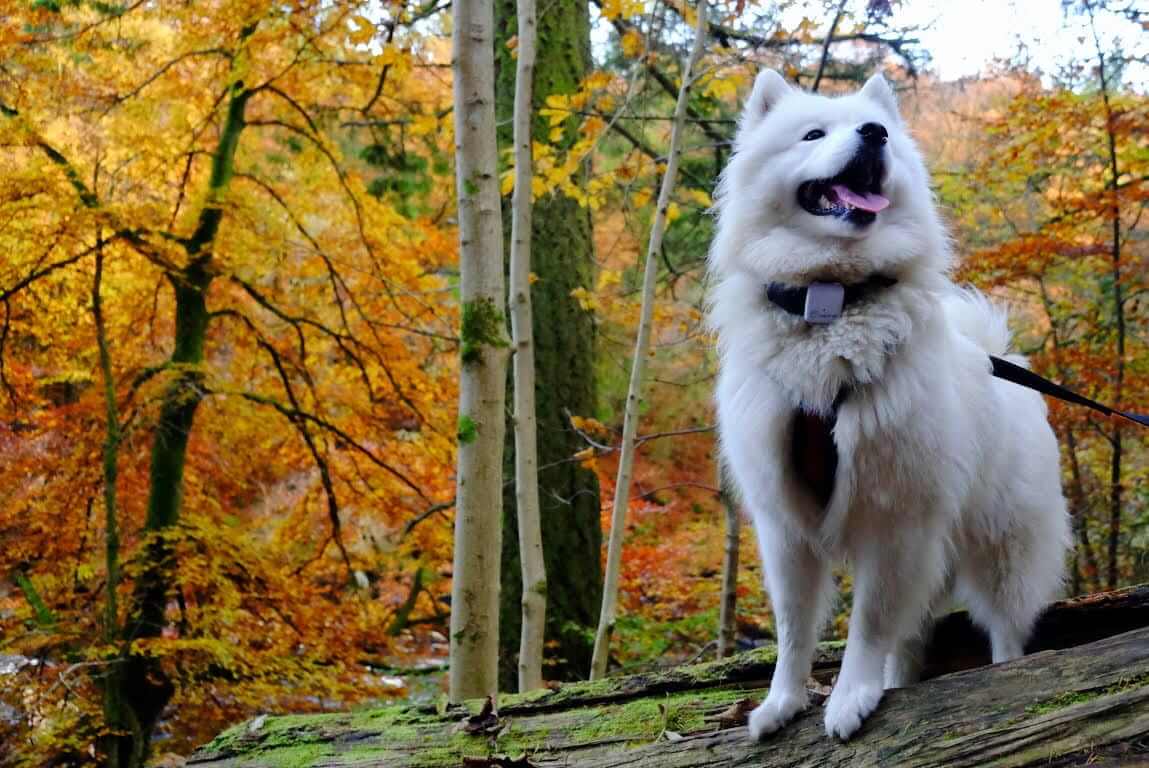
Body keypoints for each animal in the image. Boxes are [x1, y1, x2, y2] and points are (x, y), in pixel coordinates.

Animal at [703, 70, 1070, 735]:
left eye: (882, 136)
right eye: (813, 134)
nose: (874, 133)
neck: (831, 302)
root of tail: (997, 355)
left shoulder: (895, 518)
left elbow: (868, 624)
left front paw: (849, 696)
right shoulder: (784, 526)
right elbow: (794, 629)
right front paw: (782, 703)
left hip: (1001, 545)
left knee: (1003, 625)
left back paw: (1002, 675)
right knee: (912, 633)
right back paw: (895, 683)